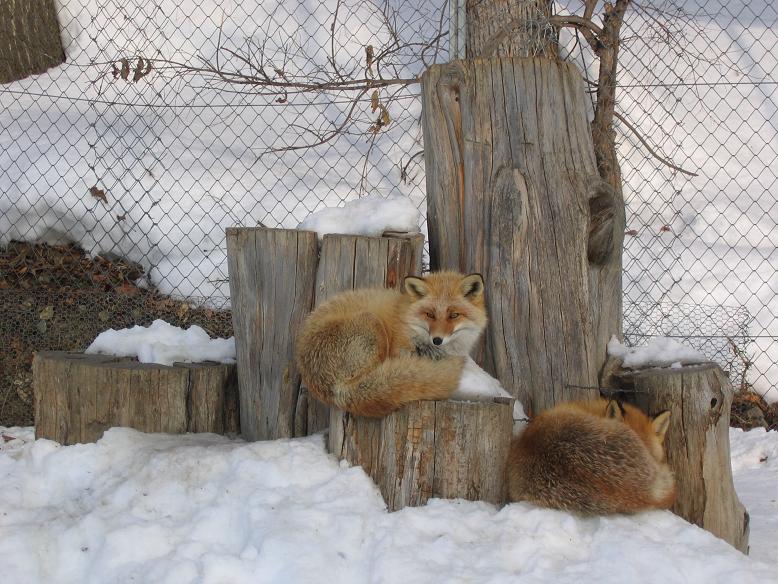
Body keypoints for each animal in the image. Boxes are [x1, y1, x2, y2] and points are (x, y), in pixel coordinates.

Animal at [292, 272, 482, 418]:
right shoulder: (400, 348)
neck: (409, 324)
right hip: (372, 324)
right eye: (430, 314)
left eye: (454, 315)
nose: (437, 340)